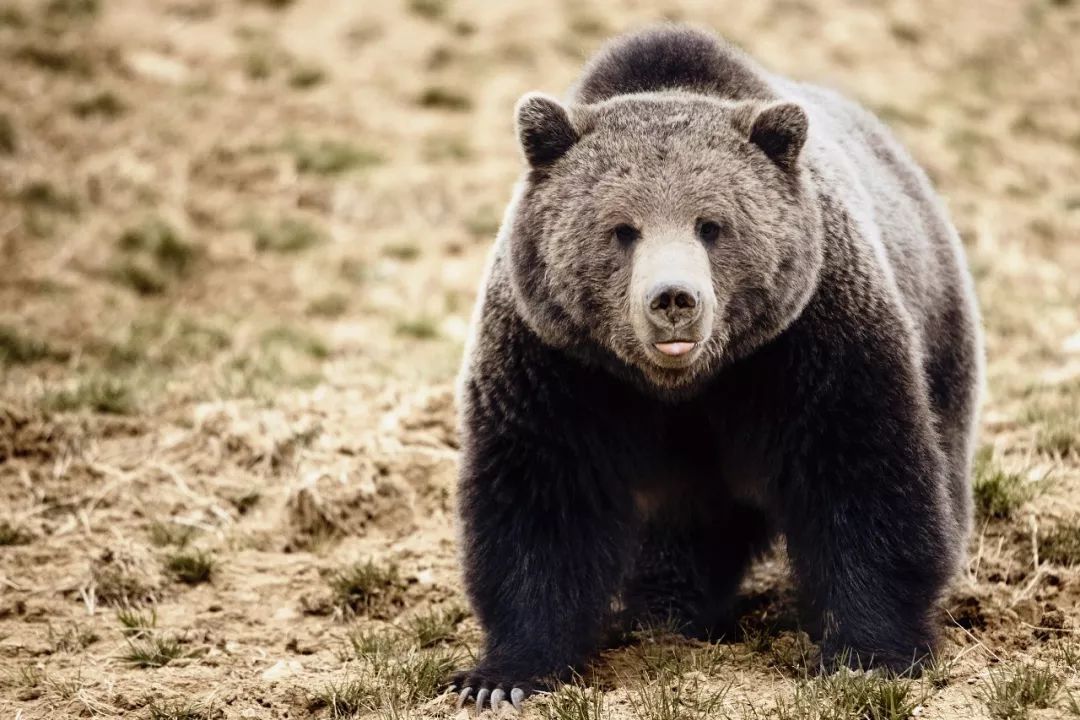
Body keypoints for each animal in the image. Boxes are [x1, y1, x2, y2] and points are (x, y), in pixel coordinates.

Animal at [451, 23, 984, 716]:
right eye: (622, 229)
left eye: (712, 225)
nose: (674, 298)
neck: (685, 385)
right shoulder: (557, 365)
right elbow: (540, 501)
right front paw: (502, 677)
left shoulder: (809, 344)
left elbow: (863, 478)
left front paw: (870, 656)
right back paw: (666, 611)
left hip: (937, 327)